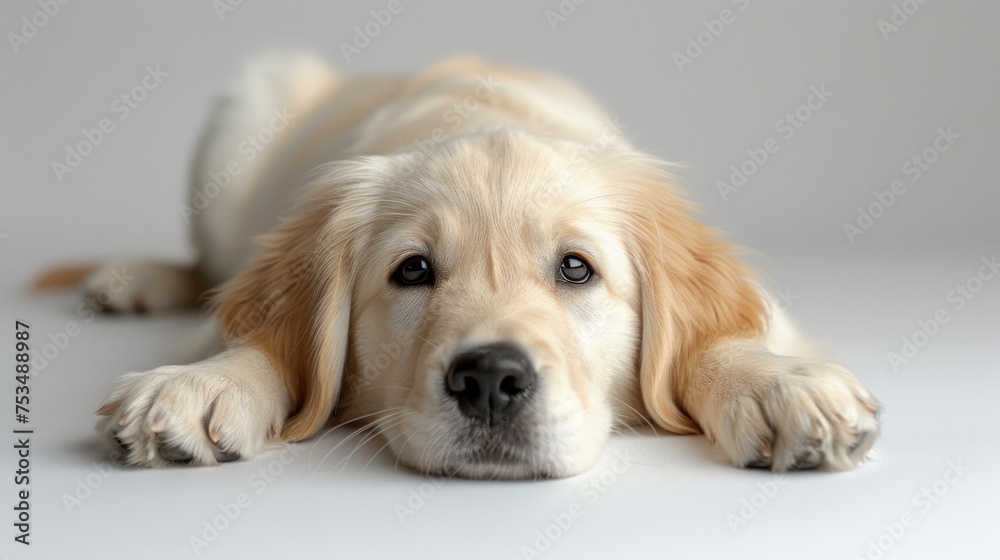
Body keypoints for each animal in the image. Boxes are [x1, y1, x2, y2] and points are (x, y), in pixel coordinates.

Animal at [45, 53, 884, 476]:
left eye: (576, 269)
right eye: (413, 271)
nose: (489, 381)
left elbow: (723, 341)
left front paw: (774, 386)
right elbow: (257, 343)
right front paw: (204, 385)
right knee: (207, 264)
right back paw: (132, 280)